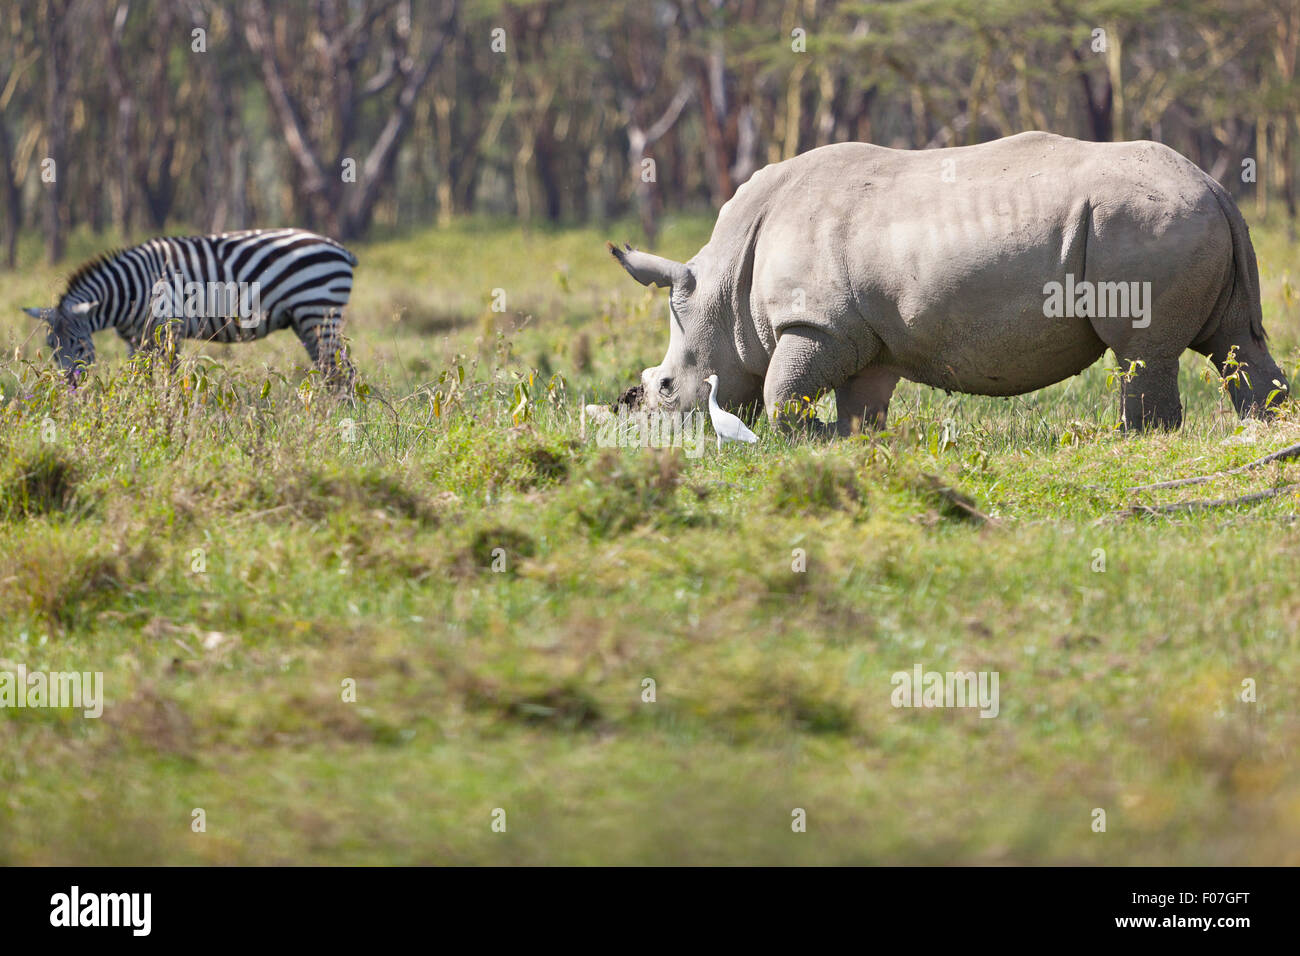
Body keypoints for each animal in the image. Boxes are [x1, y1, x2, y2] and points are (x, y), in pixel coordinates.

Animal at [21, 228, 358, 384]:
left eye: (78, 344)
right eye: (51, 346)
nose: (69, 386)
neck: (133, 289)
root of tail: (339, 248)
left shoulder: (170, 327)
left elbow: (169, 373)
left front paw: (168, 407)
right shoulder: (135, 338)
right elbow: (138, 373)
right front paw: (138, 405)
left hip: (318, 311)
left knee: (344, 372)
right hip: (306, 321)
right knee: (329, 370)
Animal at [609, 131, 1288, 433]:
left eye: (665, 387)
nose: (655, 429)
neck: (724, 287)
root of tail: (1217, 187)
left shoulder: (818, 322)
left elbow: (783, 391)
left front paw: (810, 436)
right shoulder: (865, 336)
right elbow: (860, 400)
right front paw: (853, 441)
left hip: (1141, 223)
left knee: (1142, 350)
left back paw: (1133, 439)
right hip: (1185, 217)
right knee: (1236, 341)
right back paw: (1266, 428)